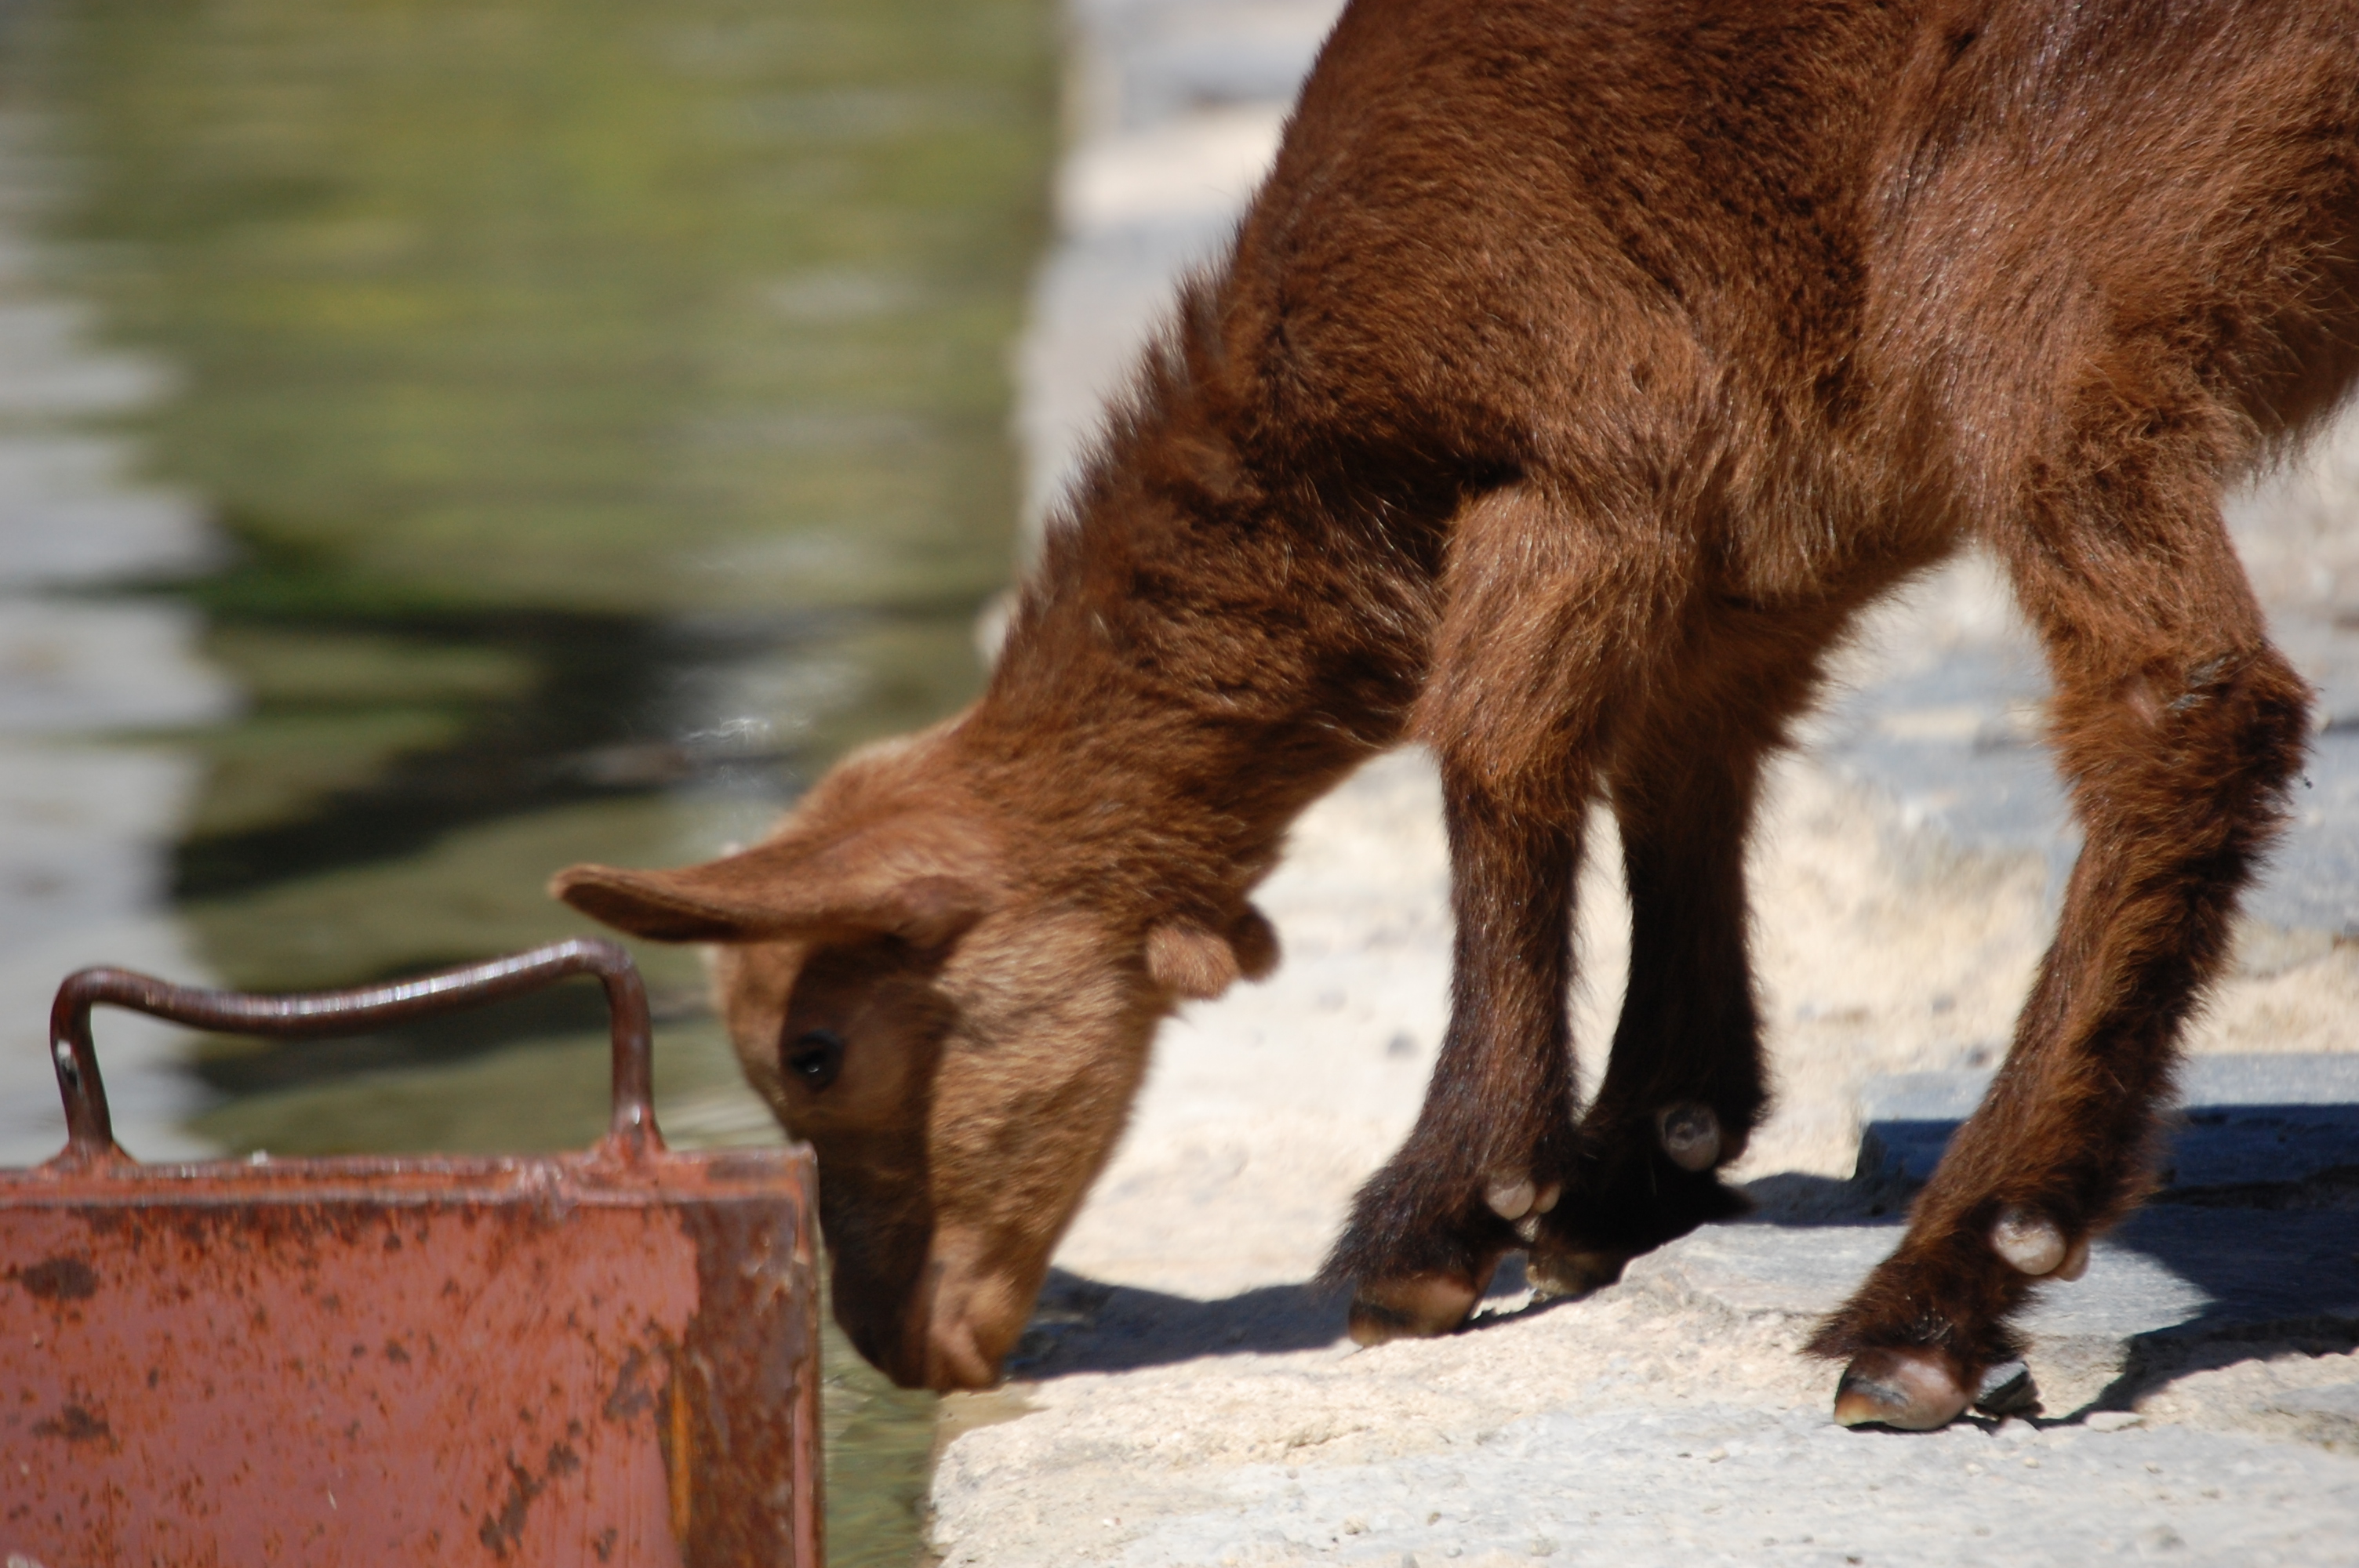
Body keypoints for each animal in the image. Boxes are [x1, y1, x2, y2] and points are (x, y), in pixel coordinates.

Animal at [553, 0, 2359, 1428]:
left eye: (814, 1050)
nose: (900, 1348)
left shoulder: (1585, 460)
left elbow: (1497, 752)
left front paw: (1437, 1221)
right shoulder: (1771, 532)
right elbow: (1678, 757)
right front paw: (1643, 1150)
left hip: (2037, 247)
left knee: (2183, 705)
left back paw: (1943, 1291)